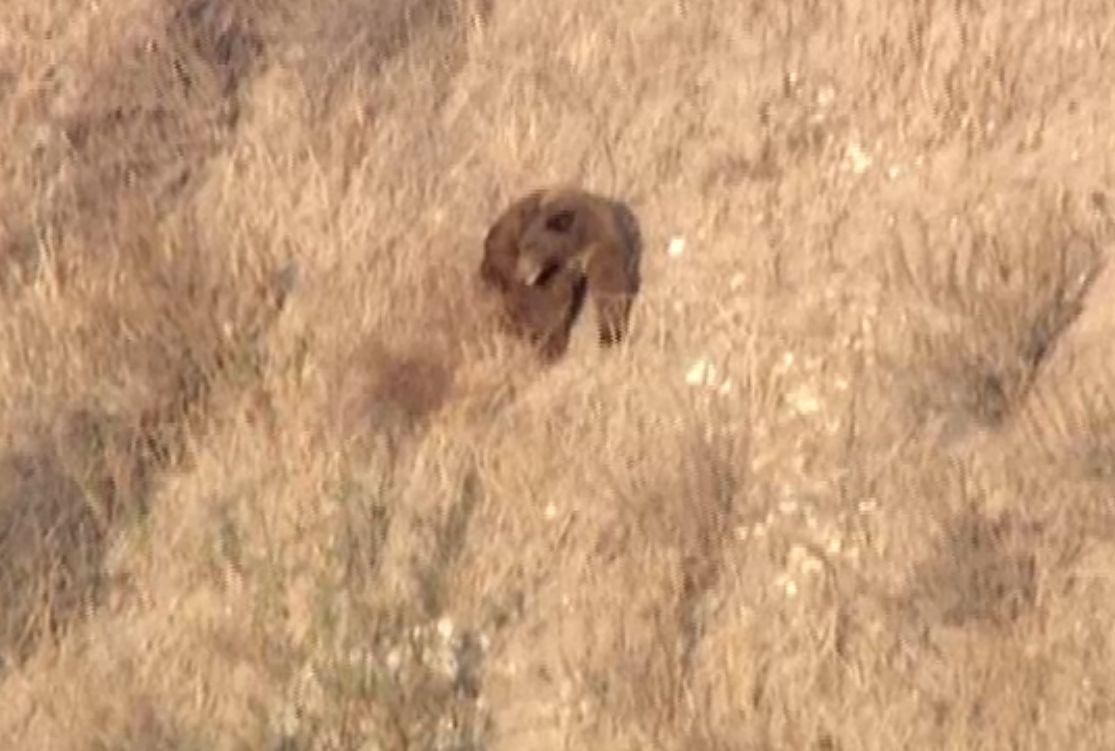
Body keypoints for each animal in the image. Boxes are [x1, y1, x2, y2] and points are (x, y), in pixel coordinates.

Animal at [479, 185, 641, 356]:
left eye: (532, 245)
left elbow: (611, 289)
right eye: (524, 245)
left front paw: (610, 335)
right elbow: (548, 302)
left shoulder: (602, 244)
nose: (521, 274)